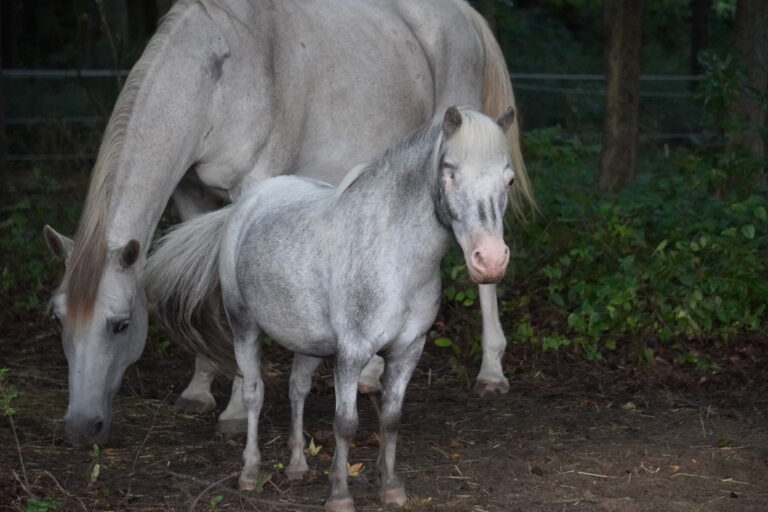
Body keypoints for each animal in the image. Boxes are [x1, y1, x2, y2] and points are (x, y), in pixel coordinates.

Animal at [42, 0, 534, 447]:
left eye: (121, 324)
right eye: (58, 319)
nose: (81, 427)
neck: (220, 76)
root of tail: (463, 12)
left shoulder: (250, 189)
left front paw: (235, 411)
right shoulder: (191, 195)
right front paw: (199, 391)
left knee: (482, 275)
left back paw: (491, 372)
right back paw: (371, 374)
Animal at [143, 106, 517, 511]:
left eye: (509, 179)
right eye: (450, 171)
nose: (490, 261)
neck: (395, 257)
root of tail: (243, 206)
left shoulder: (408, 351)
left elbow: (391, 418)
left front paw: (391, 487)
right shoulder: (352, 353)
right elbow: (346, 423)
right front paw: (339, 494)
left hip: (307, 341)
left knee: (297, 390)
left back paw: (296, 467)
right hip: (243, 326)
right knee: (254, 393)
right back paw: (249, 473)